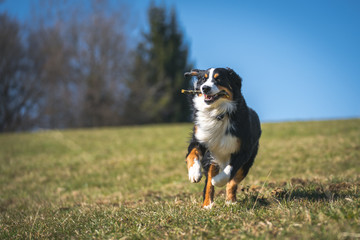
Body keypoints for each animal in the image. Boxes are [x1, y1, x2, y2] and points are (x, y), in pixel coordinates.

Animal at [184, 67, 260, 208]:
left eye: (219, 79)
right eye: (203, 79)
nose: (205, 88)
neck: (217, 114)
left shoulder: (243, 150)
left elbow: (229, 171)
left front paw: (218, 180)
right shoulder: (199, 139)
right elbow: (192, 154)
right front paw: (194, 174)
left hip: (247, 163)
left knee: (233, 181)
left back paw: (230, 201)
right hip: (211, 159)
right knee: (209, 182)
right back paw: (207, 206)